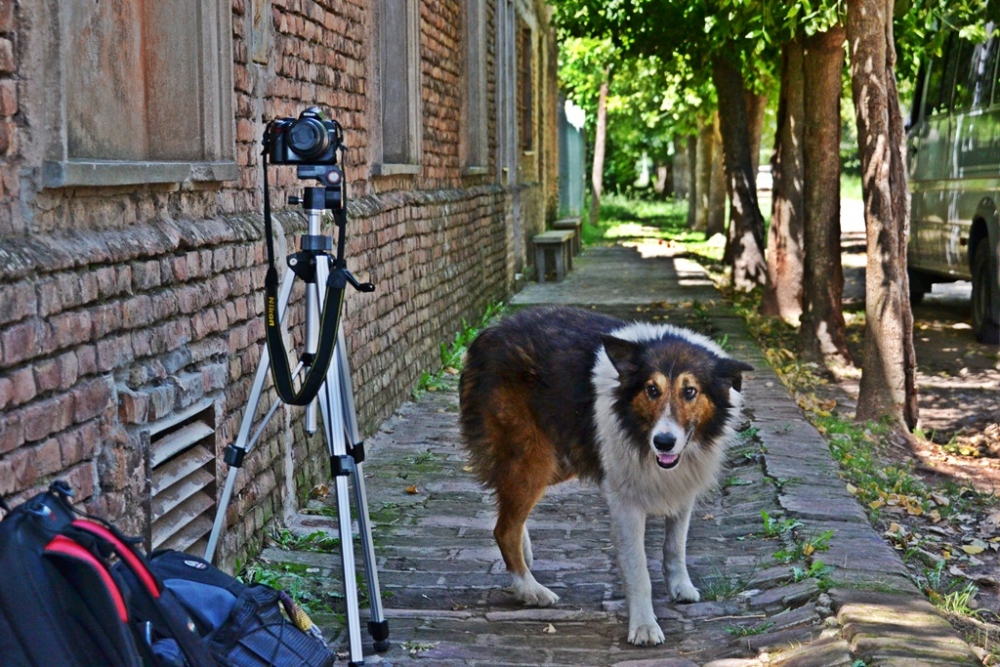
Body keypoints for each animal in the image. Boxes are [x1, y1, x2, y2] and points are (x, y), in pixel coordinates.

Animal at [456, 306, 752, 644]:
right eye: (652, 390)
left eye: (690, 391)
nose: (664, 442)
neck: (637, 429)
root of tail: (487, 334)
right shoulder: (625, 502)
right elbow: (638, 571)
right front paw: (644, 626)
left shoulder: (681, 485)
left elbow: (675, 546)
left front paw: (680, 587)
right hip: (533, 458)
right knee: (504, 528)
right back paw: (530, 589)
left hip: (561, 457)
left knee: (509, 513)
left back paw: (525, 555)